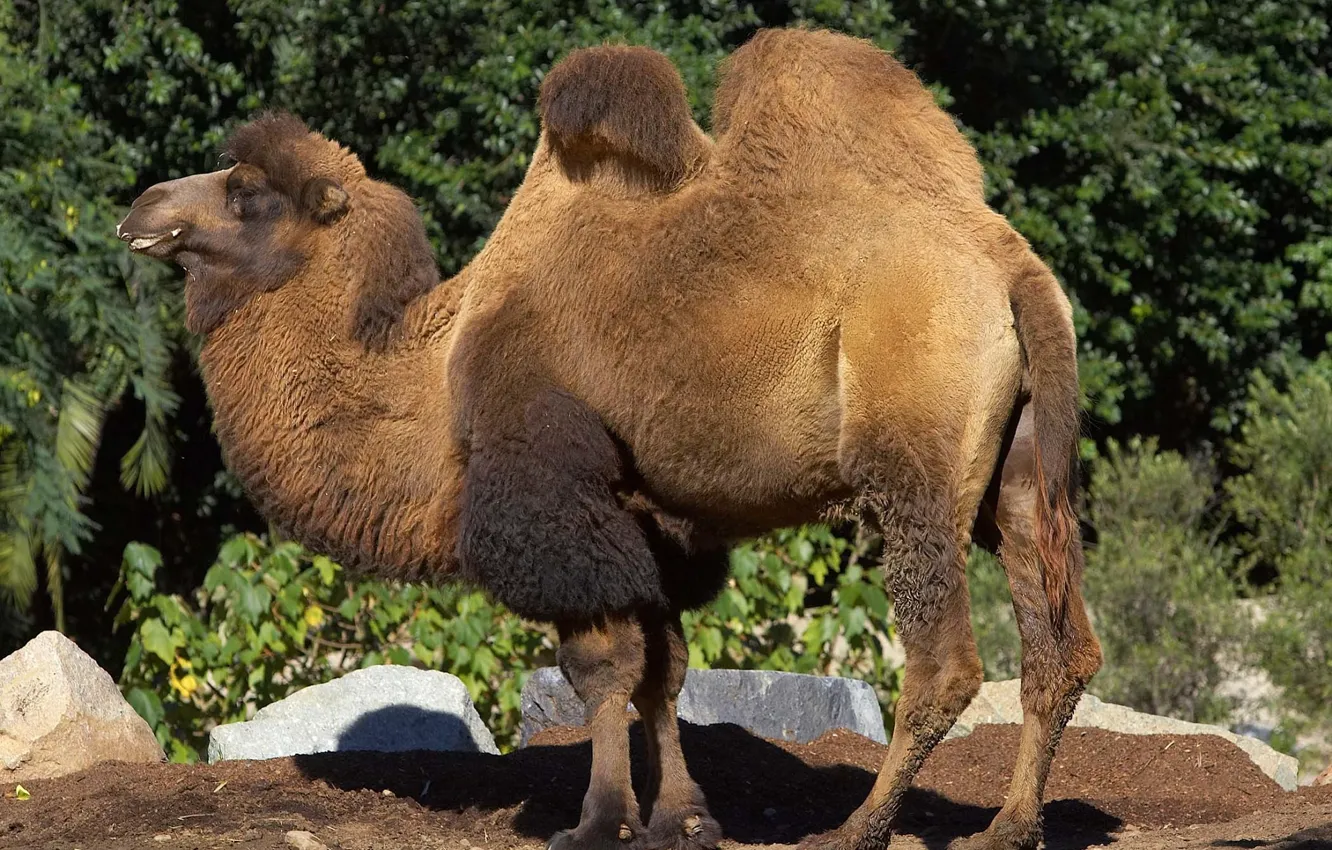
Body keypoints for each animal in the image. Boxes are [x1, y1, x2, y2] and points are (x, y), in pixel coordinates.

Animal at [115, 27, 1101, 850]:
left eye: (246, 193)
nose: (142, 206)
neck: (433, 378)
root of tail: (1012, 267)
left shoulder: (551, 491)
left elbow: (601, 667)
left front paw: (595, 823)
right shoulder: (647, 516)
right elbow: (665, 670)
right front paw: (683, 818)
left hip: (913, 463)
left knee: (945, 663)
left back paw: (859, 829)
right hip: (1020, 471)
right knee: (1061, 649)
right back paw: (1009, 827)